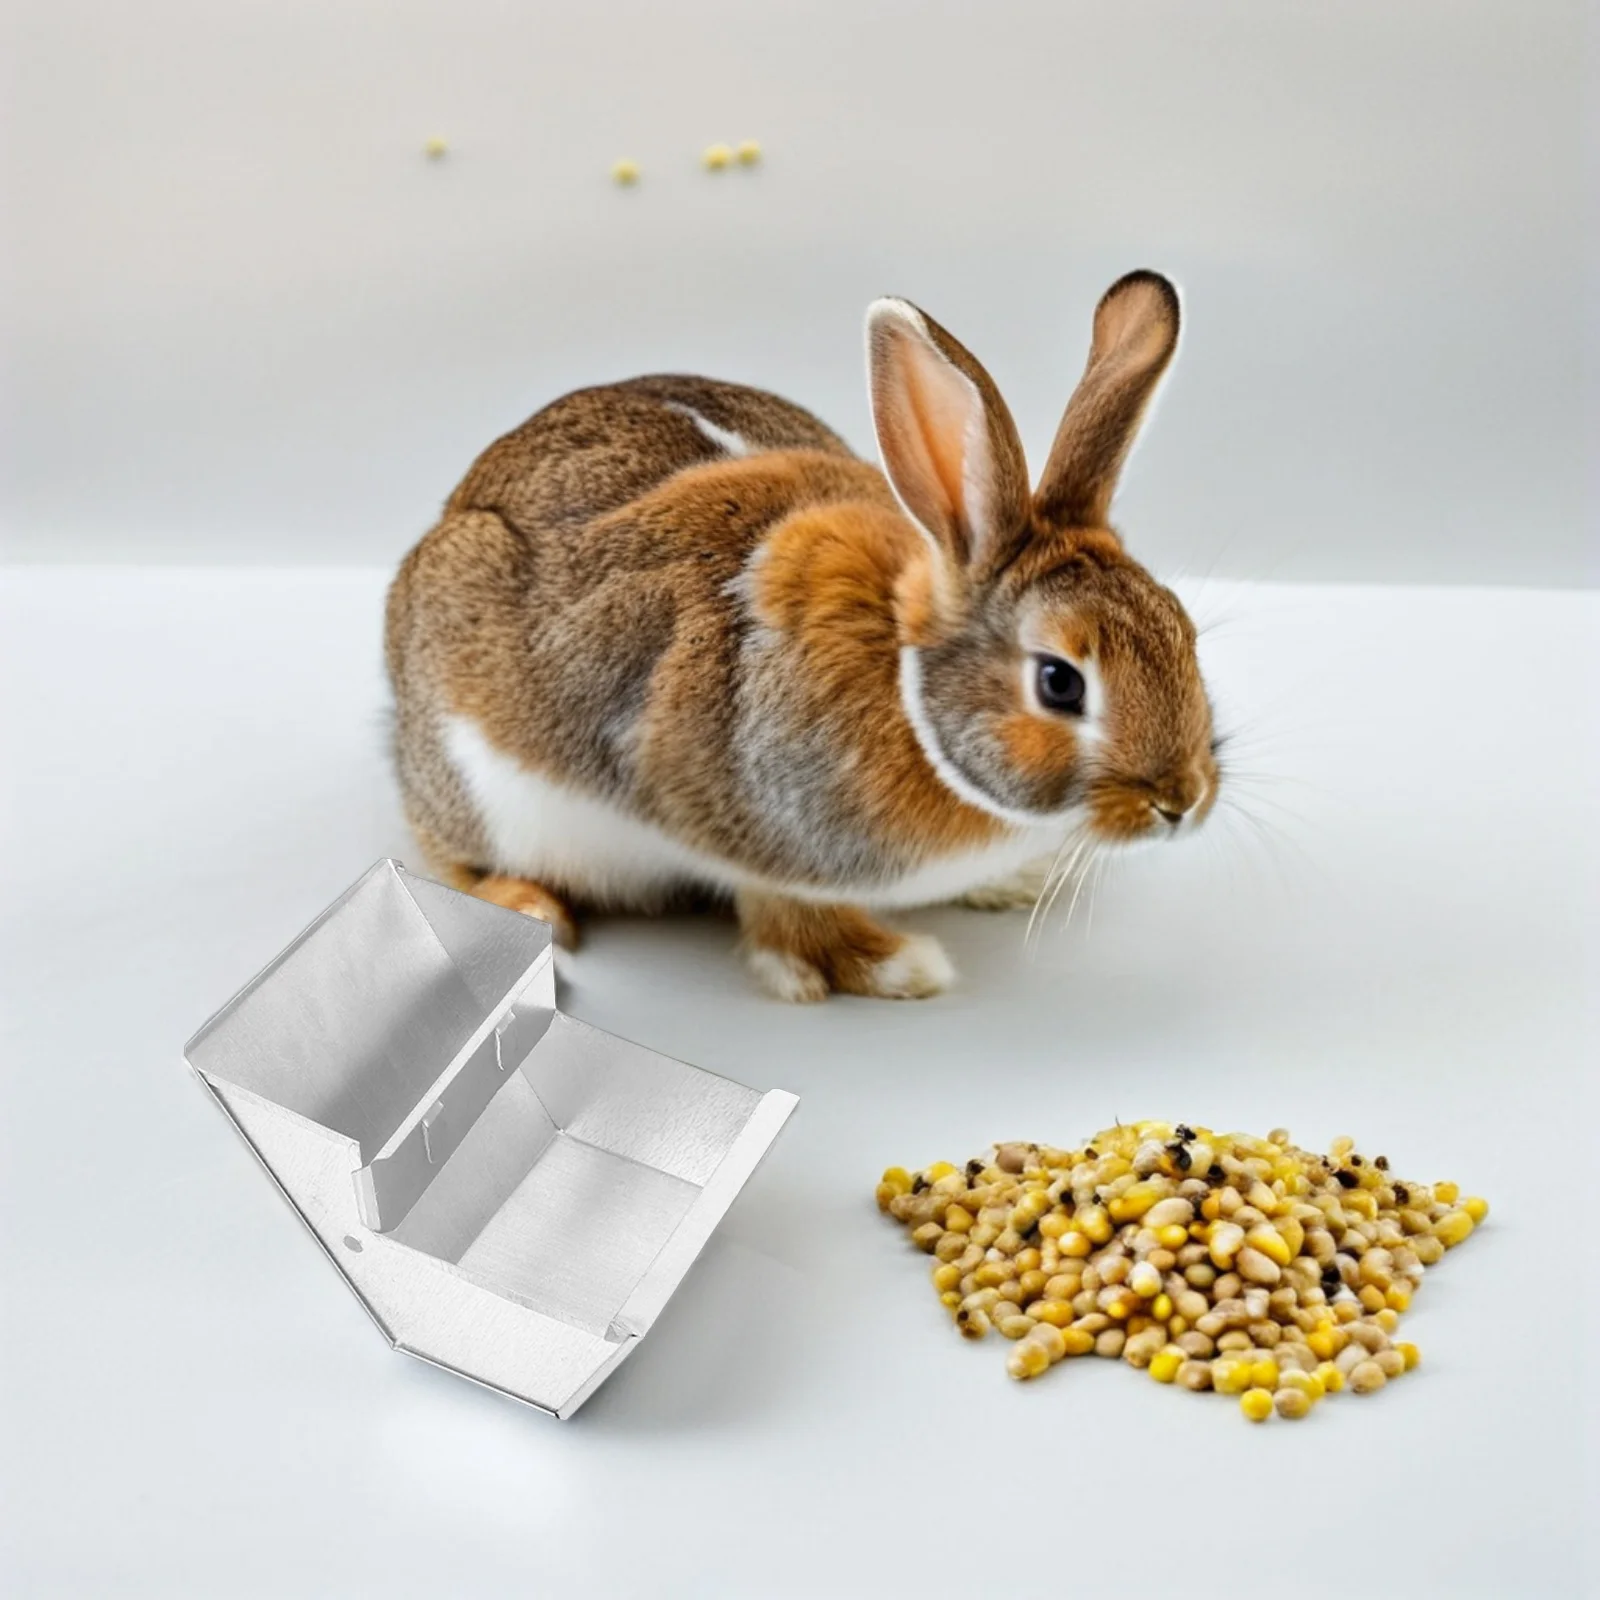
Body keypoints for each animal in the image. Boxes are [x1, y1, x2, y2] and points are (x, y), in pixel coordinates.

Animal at [385, 269, 1218, 1000]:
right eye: (1059, 683)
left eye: (1184, 632)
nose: (1182, 801)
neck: (908, 693)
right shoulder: (743, 829)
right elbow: (788, 913)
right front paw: (889, 967)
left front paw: (1014, 882)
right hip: (473, 781)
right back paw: (532, 911)